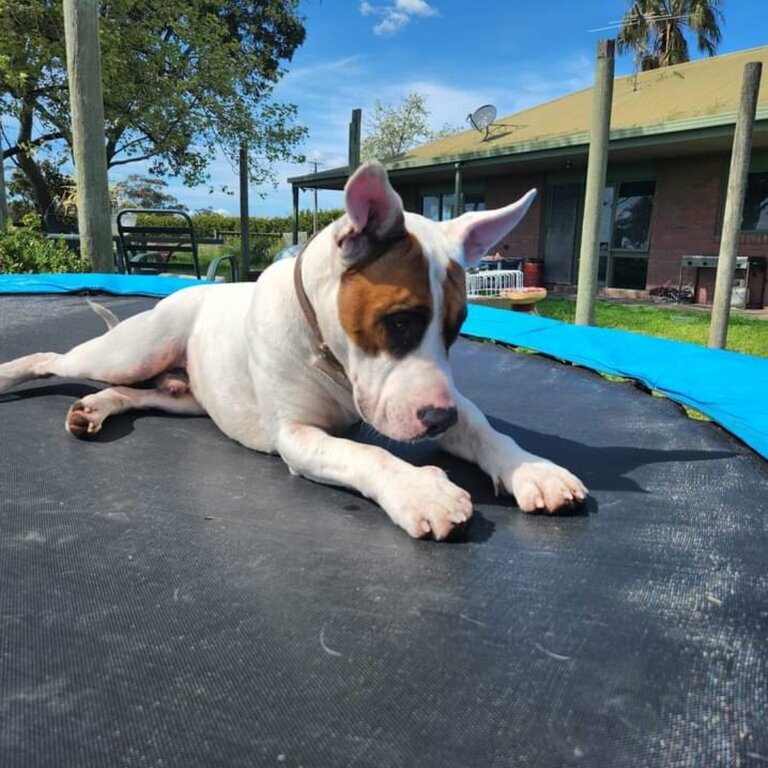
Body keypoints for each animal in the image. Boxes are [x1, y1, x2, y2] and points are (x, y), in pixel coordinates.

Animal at [0, 164, 584, 540]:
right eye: (398, 322)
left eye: (457, 329)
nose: (438, 421)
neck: (328, 350)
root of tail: (189, 291)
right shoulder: (299, 437)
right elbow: (367, 454)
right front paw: (421, 491)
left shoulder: (442, 399)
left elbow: (485, 430)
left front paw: (532, 468)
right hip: (129, 351)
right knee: (54, 359)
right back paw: (14, 373)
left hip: (184, 398)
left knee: (132, 393)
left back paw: (97, 408)